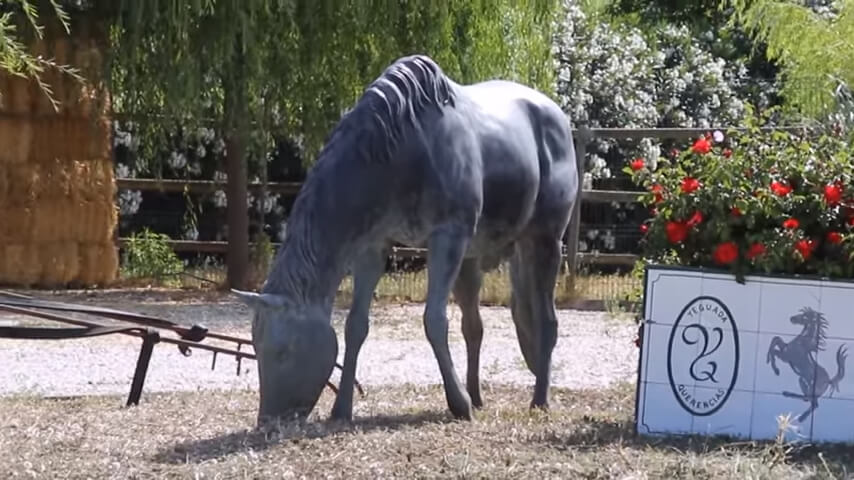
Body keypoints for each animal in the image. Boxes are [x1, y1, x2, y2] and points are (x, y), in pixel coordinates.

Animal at [232, 54, 580, 426]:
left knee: (547, 322)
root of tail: (555, 114)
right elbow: (356, 325)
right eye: (256, 347)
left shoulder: (447, 238)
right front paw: (342, 409)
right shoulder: (374, 246)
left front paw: (458, 404)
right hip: (473, 259)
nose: (268, 421)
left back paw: (538, 400)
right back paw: (477, 395)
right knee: (474, 327)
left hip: (543, 243)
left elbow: (434, 321)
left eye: (284, 352)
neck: (399, 149)